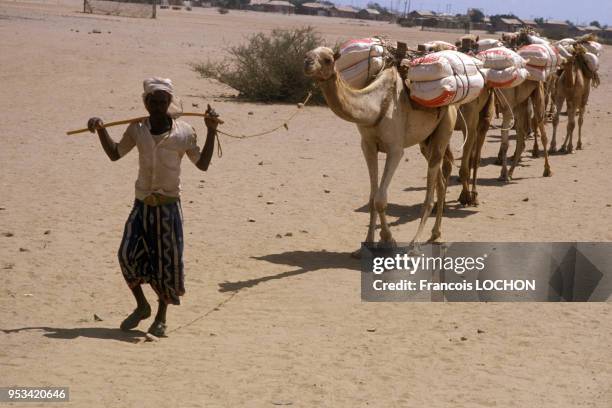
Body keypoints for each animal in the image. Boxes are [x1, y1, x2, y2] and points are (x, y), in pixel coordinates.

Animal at [304, 46, 456, 253]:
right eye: (307, 54)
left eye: (328, 59)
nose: (307, 63)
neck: (377, 106)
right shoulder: (367, 146)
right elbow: (371, 199)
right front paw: (368, 243)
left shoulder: (395, 149)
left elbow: (380, 199)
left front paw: (388, 240)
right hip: (426, 141)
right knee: (440, 181)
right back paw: (435, 234)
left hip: (444, 129)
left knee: (431, 191)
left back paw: (415, 243)